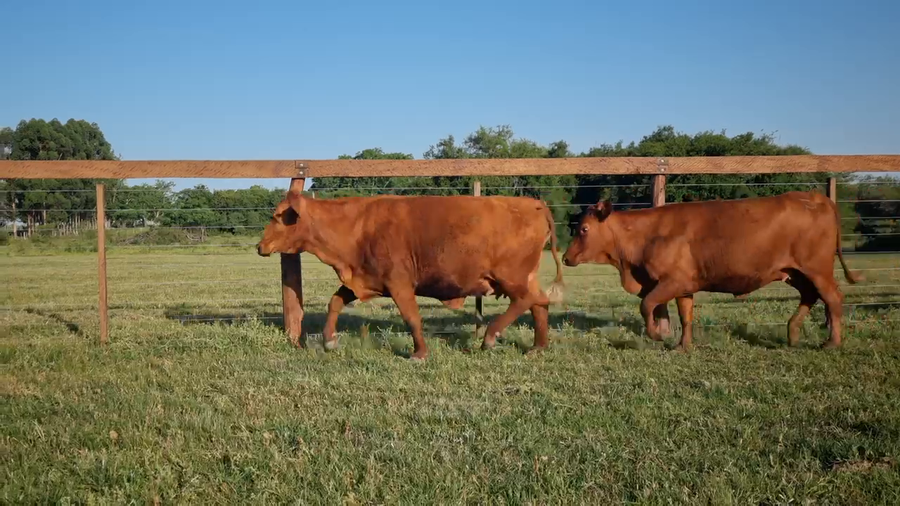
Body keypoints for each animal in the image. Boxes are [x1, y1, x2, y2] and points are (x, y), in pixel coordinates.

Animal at [256, 190, 565, 360]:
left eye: (277, 217)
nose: (260, 246)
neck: (357, 227)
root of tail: (534, 203)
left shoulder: (399, 283)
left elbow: (411, 317)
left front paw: (419, 353)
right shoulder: (365, 280)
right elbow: (335, 301)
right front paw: (329, 340)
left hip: (511, 277)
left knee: (528, 300)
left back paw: (491, 335)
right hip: (523, 277)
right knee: (539, 305)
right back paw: (538, 347)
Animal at [561, 191, 863, 351]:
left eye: (584, 229)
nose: (565, 257)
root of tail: (816, 197)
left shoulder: (671, 282)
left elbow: (647, 305)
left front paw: (657, 335)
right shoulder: (684, 286)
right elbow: (686, 316)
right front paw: (683, 346)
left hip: (817, 270)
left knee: (833, 298)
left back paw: (832, 342)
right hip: (795, 273)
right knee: (810, 296)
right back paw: (792, 333)